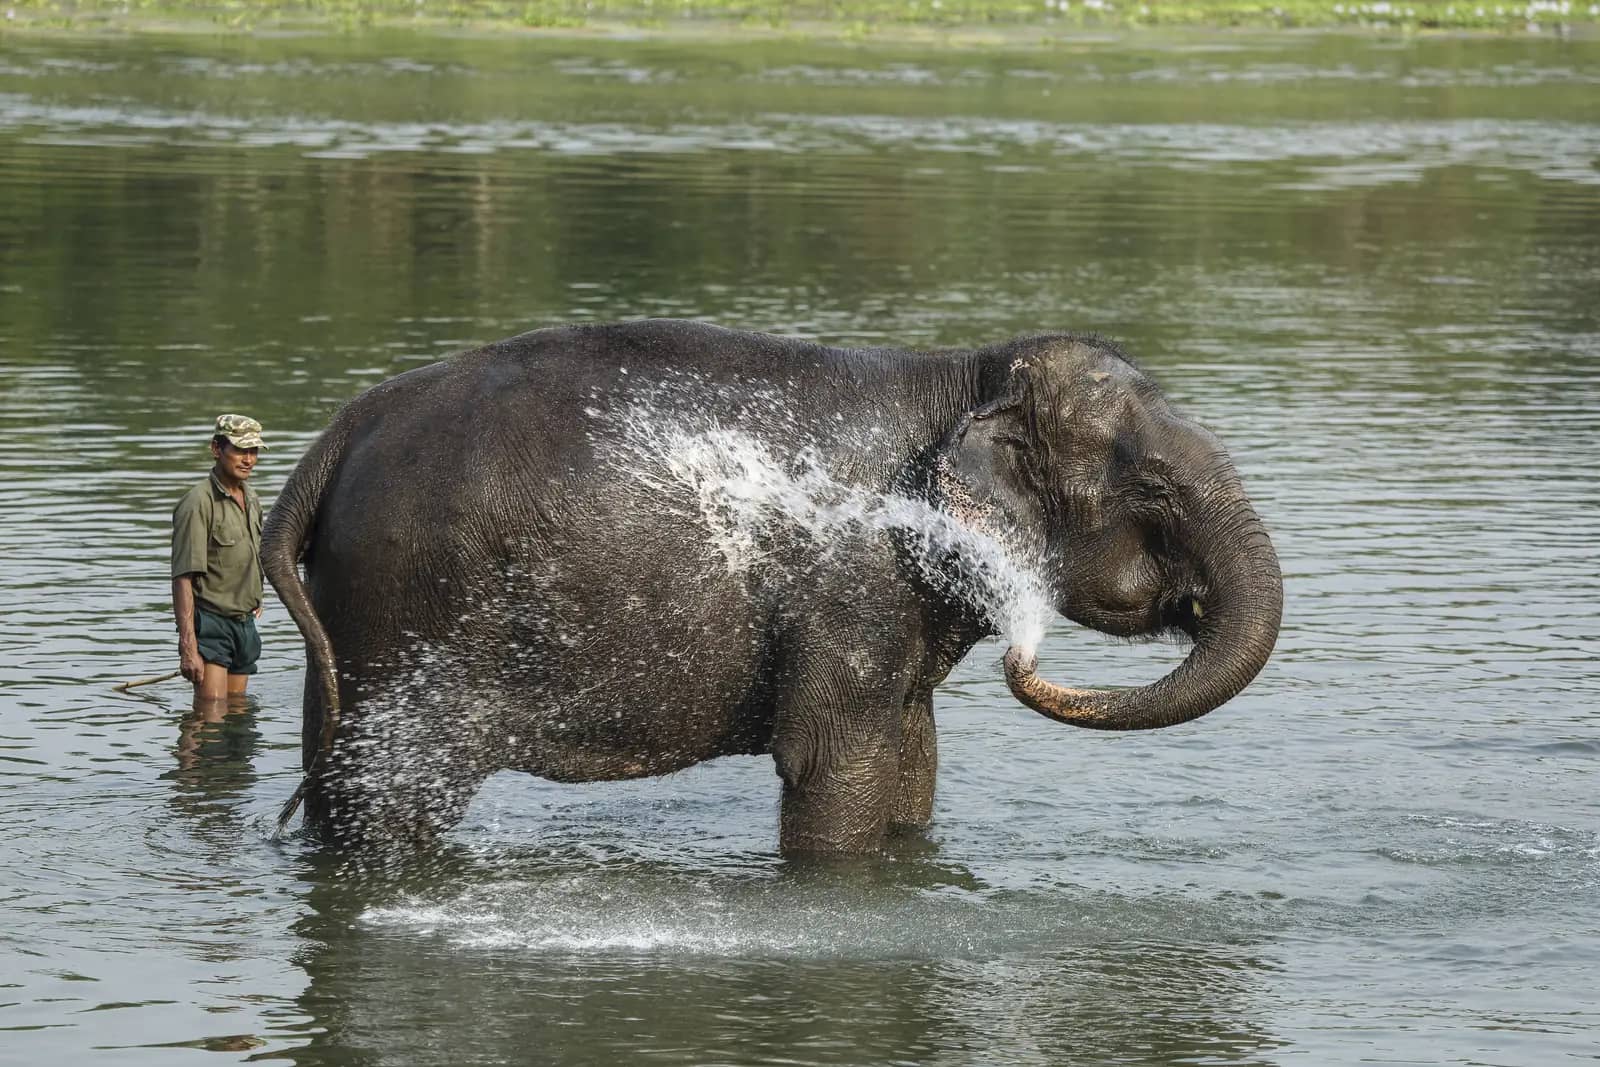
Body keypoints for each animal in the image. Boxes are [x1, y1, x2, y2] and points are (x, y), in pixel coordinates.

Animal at [262, 319, 1282, 854]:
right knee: (392, 798)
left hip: (356, 623)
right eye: (1155, 490)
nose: (1028, 660)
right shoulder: (853, 585)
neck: (960, 375)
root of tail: (336, 435)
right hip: (413, 607)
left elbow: (912, 759)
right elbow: (836, 765)